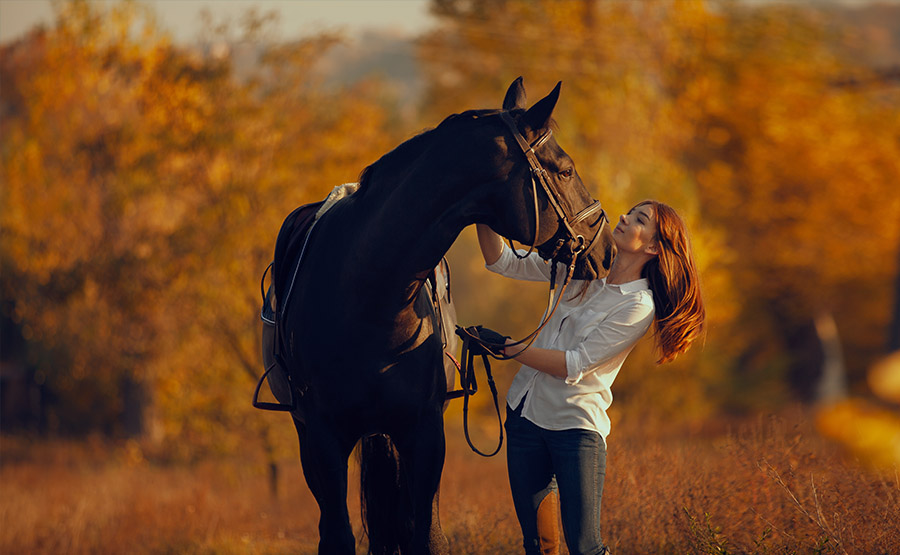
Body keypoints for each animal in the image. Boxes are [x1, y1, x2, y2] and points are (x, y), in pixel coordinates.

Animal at [269, 77, 615, 554]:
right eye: (564, 170)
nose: (606, 249)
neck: (365, 295)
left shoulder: (425, 433)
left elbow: (426, 537)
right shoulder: (321, 439)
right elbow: (338, 536)